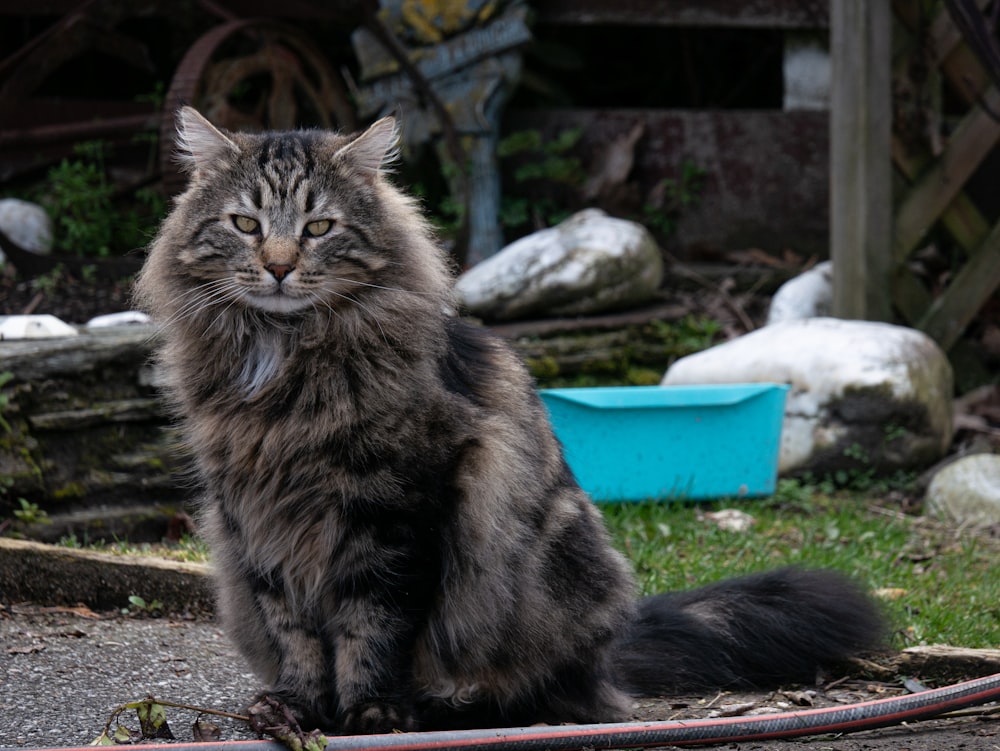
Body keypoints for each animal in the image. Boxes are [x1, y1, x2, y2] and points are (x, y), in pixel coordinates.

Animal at [133, 108, 884, 736]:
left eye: (319, 228)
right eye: (246, 225)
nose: (280, 268)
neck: (283, 360)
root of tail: (612, 652)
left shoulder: (394, 507)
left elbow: (372, 624)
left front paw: (371, 711)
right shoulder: (255, 515)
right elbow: (294, 629)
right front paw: (299, 708)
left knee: (546, 693)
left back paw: (452, 704)